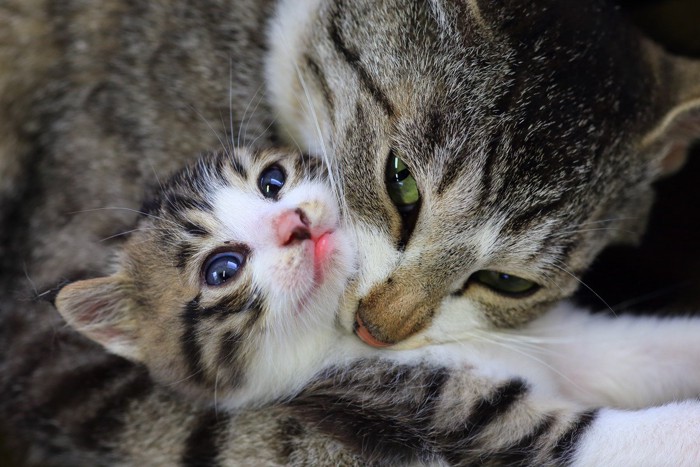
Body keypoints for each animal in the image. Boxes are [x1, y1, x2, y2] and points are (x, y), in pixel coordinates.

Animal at [52, 146, 700, 467]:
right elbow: (622, 439)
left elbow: (633, 350)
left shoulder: (549, 337)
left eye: (271, 181)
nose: (295, 222)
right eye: (222, 270)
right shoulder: (423, 412)